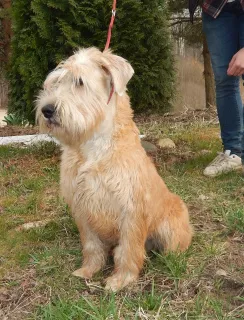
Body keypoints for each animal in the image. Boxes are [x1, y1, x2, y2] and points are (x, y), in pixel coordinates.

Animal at [36, 48, 193, 292]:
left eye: (79, 81)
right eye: (56, 82)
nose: (47, 110)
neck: (93, 149)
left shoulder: (130, 211)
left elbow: (128, 249)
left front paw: (121, 279)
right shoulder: (82, 207)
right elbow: (91, 246)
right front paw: (88, 270)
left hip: (171, 226)